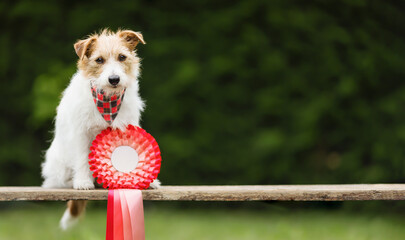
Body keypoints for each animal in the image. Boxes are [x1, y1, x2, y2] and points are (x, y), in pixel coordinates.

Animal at [41, 29, 159, 230]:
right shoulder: (81, 133)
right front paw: (82, 181)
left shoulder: (127, 127)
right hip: (58, 165)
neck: (108, 100)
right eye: (99, 60)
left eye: (122, 57)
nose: (114, 79)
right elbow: (82, 158)